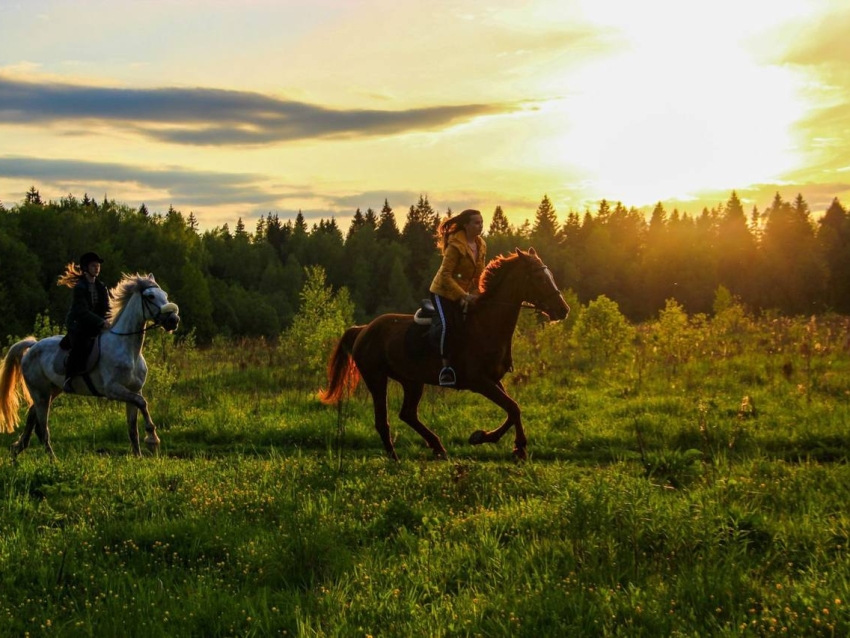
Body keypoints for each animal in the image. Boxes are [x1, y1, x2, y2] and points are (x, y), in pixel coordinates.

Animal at [0, 276, 179, 460]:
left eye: (165, 295)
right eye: (150, 296)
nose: (173, 320)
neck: (128, 349)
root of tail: (32, 346)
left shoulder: (134, 390)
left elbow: (132, 427)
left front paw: (138, 457)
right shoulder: (113, 390)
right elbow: (142, 403)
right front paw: (152, 439)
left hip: (51, 390)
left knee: (32, 416)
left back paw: (16, 450)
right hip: (40, 392)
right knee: (42, 429)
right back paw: (52, 461)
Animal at [322, 248, 568, 462]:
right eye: (539, 278)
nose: (563, 310)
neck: (487, 324)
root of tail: (364, 329)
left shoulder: (493, 380)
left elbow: (512, 409)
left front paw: (486, 438)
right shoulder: (479, 382)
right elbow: (513, 407)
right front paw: (516, 446)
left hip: (412, 381)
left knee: (408, 414)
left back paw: (438, 447)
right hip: (376, 379)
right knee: (383, 421)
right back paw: (396, 459)